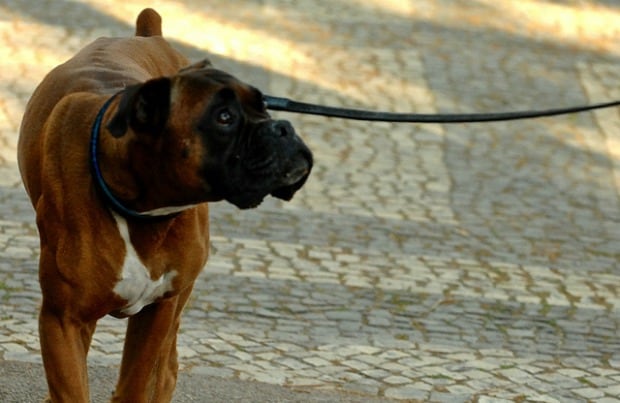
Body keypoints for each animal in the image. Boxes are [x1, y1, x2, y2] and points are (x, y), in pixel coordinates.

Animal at [17, 7, 312, 402]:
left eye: (263, 107)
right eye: (224, 117)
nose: (282, 128)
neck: (140, 210)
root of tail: (147, 34)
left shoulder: (158, 311)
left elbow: (135, 383)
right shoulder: (62, 319)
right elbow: (73, 388)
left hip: (177, 302)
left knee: (167, 368)